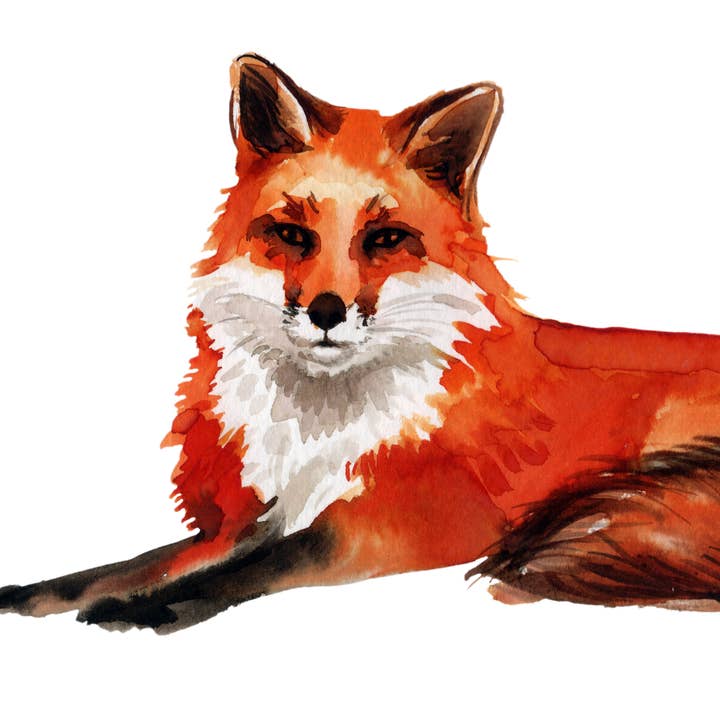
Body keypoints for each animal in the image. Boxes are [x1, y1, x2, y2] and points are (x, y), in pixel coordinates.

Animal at [2, 52, 720, 632]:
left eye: (385, 239)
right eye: (292, 235)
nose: (327, 312)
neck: (318, 431)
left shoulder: (398, 527)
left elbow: (260, 565)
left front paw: (148, 610)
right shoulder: (254, 514)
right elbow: (132, 565)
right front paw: (42, 594)